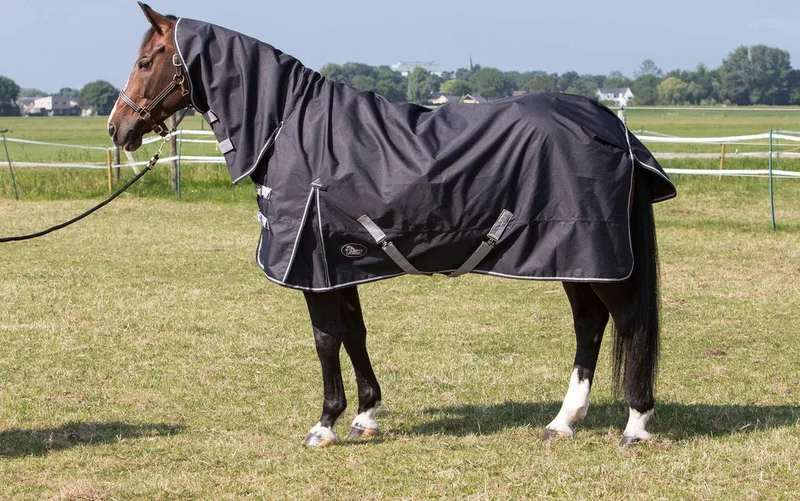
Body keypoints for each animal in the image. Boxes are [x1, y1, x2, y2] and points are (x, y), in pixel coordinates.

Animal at [108, 3, 675, 448]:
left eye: (144, 61)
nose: (118, 128)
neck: (289, 126)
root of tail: (614, 127)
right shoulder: (340, 263)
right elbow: (354, 333)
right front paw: (365, 414)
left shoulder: (312, 266)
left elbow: (325, 338)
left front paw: (325, 424)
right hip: (576, 260)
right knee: (590, 325)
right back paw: (563, 421)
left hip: (597, 256)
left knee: (628, 323)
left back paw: (635, 424)